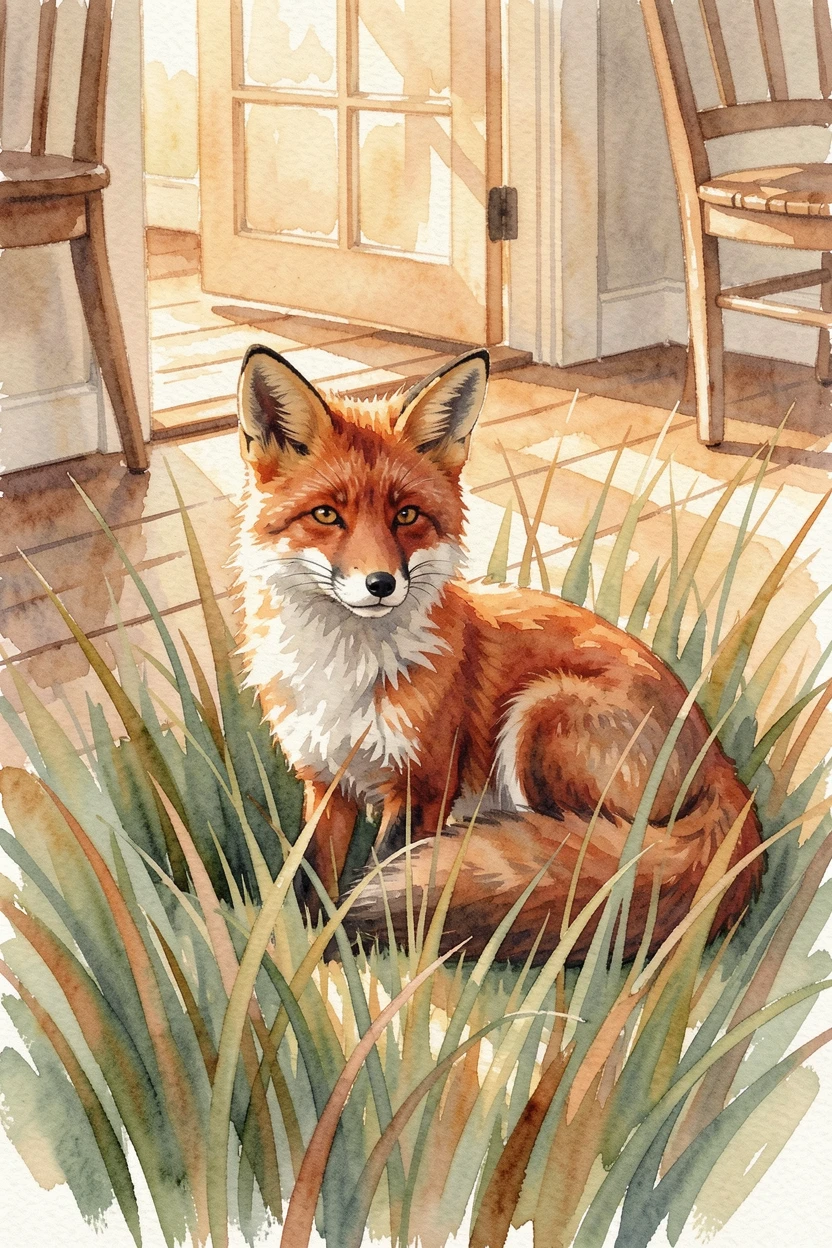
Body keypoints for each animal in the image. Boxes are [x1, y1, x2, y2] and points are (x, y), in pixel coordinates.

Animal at [232, 344, 763, 965]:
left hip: (540, 716)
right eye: (325, 515)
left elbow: (380, 870)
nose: (381, 584)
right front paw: (307, 951)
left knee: (572, 852)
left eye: (406, 515)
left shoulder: (423, 784)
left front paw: (370, 953)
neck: (347, 672)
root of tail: (722, 764)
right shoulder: (324, 781)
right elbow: (313, 877)